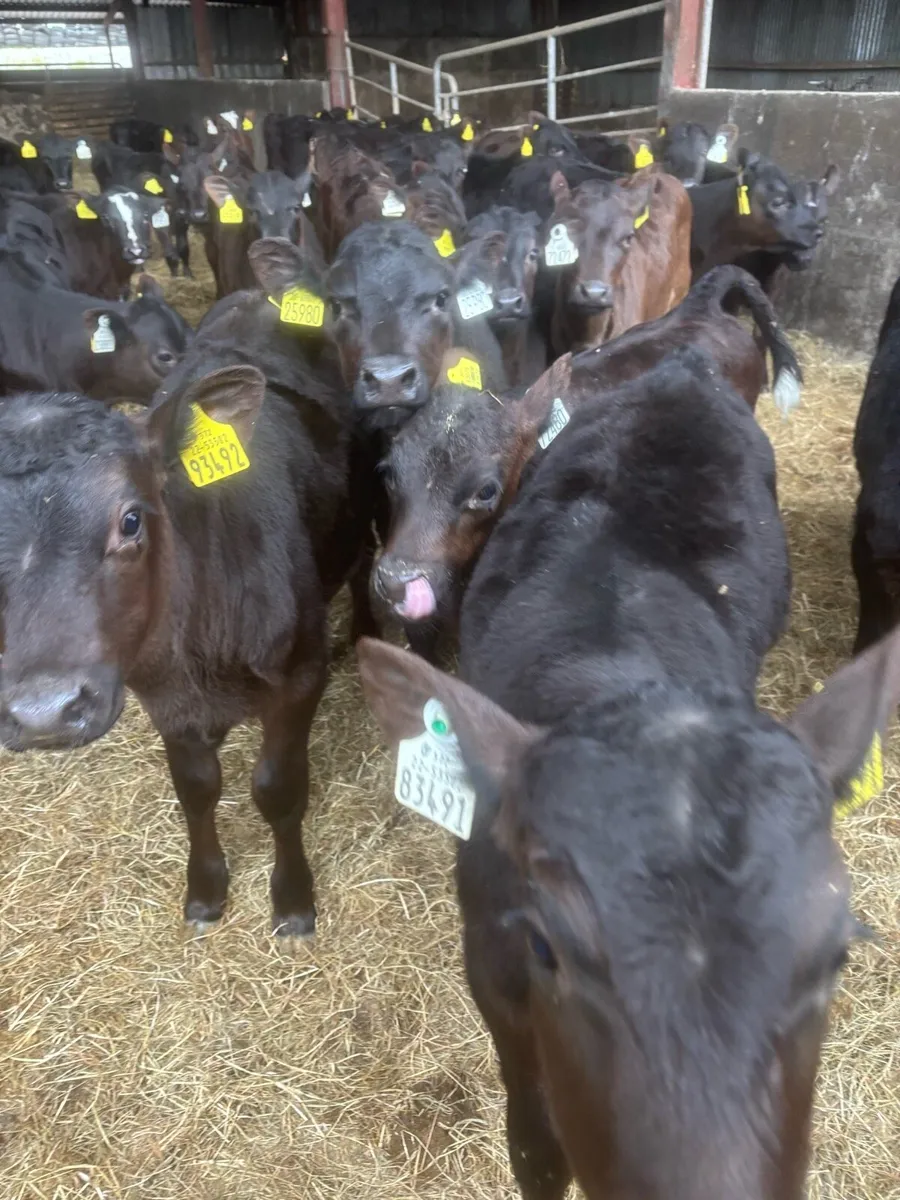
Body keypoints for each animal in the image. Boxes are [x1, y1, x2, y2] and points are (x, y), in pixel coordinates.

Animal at [0, 236, 375, 937]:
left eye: (131, 519)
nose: (44, 712)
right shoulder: (162, 697)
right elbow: (196, 786)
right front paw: (205, 890)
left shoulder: (299, 676)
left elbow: (277, 788)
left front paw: (292, 898)